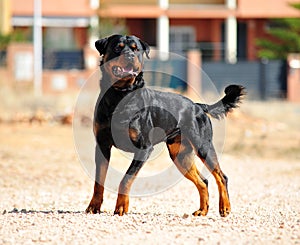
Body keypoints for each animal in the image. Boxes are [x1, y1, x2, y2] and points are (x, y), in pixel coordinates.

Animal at [84, 34, 244, 216]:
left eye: (136, 49)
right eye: (118, 47)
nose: (130, 56)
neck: (120, 95)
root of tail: (198, 106)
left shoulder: (144, 148)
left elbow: (126, 179)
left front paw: (121, 207)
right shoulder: (102, 145)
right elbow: (99, 180)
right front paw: (94, 206)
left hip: (203, 146)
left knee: (221, 176)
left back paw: (225, 207)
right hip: (180, 155)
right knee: (203, 181)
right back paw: (202, 210)